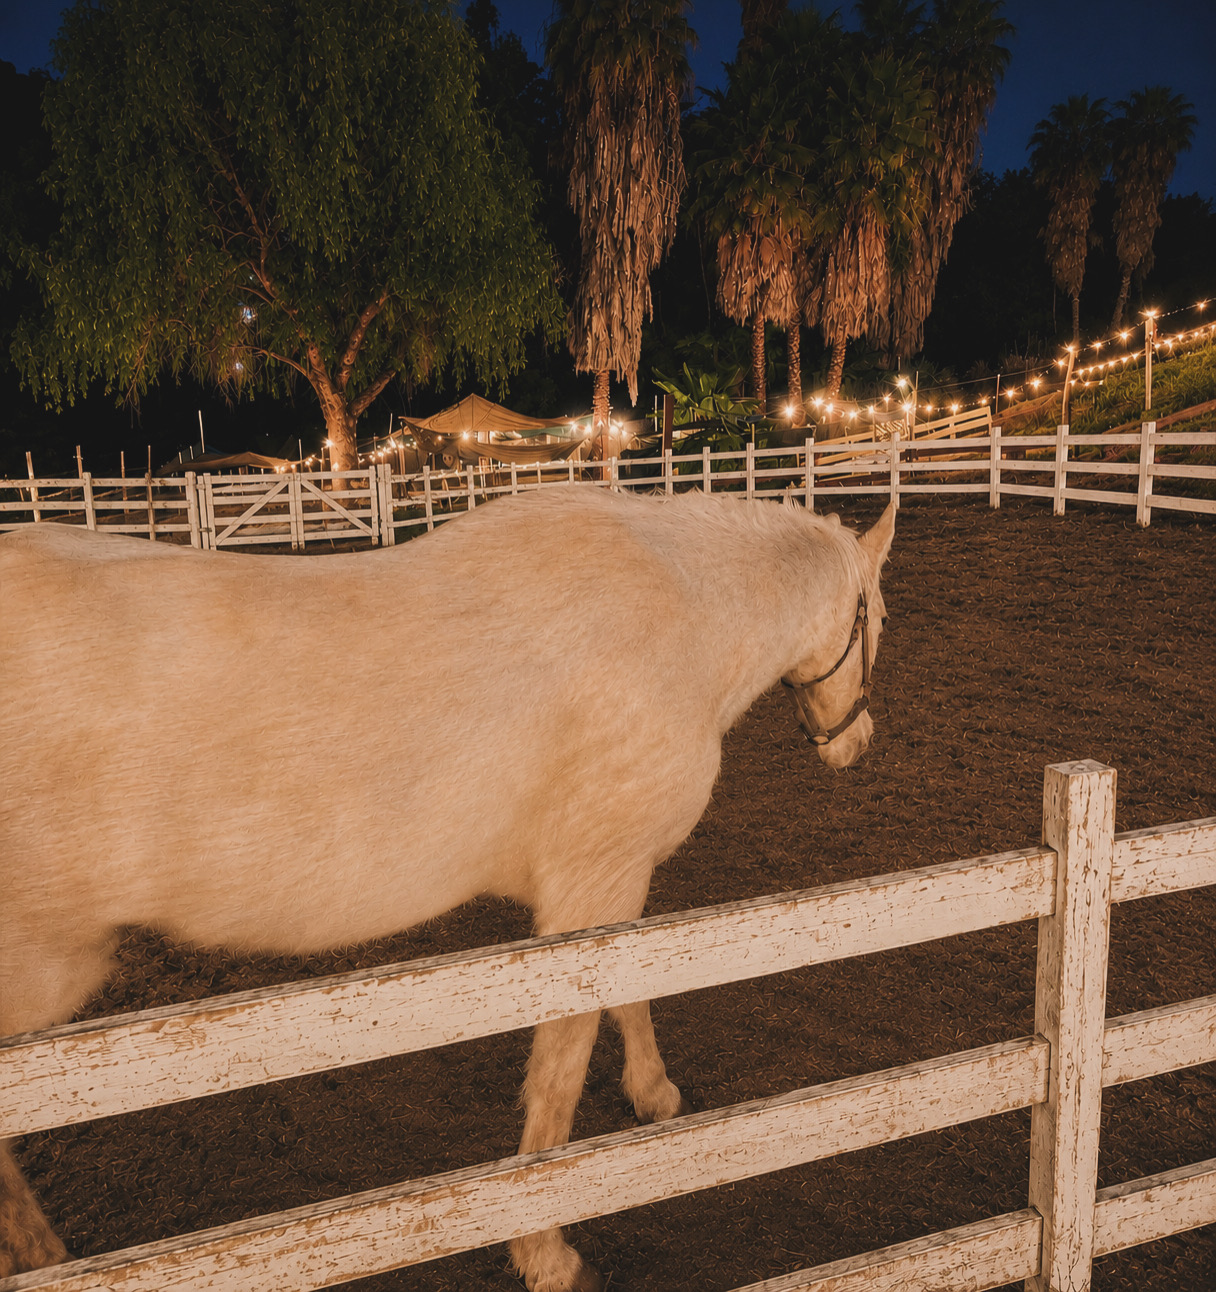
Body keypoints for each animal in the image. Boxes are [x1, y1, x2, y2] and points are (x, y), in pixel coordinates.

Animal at [0, 486, 894, 1292]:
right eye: (878, 621)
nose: (855, 743)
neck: (682, 615)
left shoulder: (611, 884)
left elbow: (626, 1002)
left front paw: (652, 1093)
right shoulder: (592, 885)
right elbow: (561, 1068)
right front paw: (545, 1253)